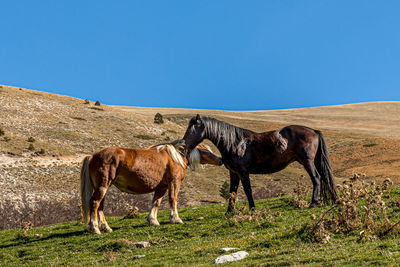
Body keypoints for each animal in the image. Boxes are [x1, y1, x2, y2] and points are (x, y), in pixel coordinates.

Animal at [80, 140, 222, 234]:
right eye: (205, 149)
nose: (220, 160)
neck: (175, 157)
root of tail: (93, 156)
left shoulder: (162, 187)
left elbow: (156, 202)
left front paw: (153, 220)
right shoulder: (174, 182)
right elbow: (173, 199)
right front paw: (175, 219)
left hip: (102, 187)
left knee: (100, 206)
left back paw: (106, 227)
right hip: (103, 186)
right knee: (94, 203)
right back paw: (95, 228)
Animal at [184, 115, 338, 214]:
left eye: (192, 129)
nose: (184, 145)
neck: (235, 143)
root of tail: (314, 131)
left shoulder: (243, 172)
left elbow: (247, 190)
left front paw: (253, 209)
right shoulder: (234, 173)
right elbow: (232, 192)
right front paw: (229, 212)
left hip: (307, 161)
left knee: (316, 178)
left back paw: (313, 203)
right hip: (315, 161)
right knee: (325, 178)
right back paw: (334, 200)